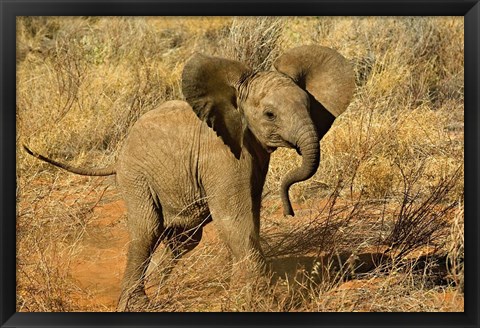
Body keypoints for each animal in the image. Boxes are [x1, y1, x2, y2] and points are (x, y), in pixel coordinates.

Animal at [24, 45, 354, 310]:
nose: (290, 211)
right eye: (270, 115)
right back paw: (138, 304)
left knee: (184, 240)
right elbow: (234, 219)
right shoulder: (222, 155)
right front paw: (256, 301)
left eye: (310, 106)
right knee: (147, 231)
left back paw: (163, 287)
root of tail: (117, 157)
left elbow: (250, 214)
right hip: (136, 176)